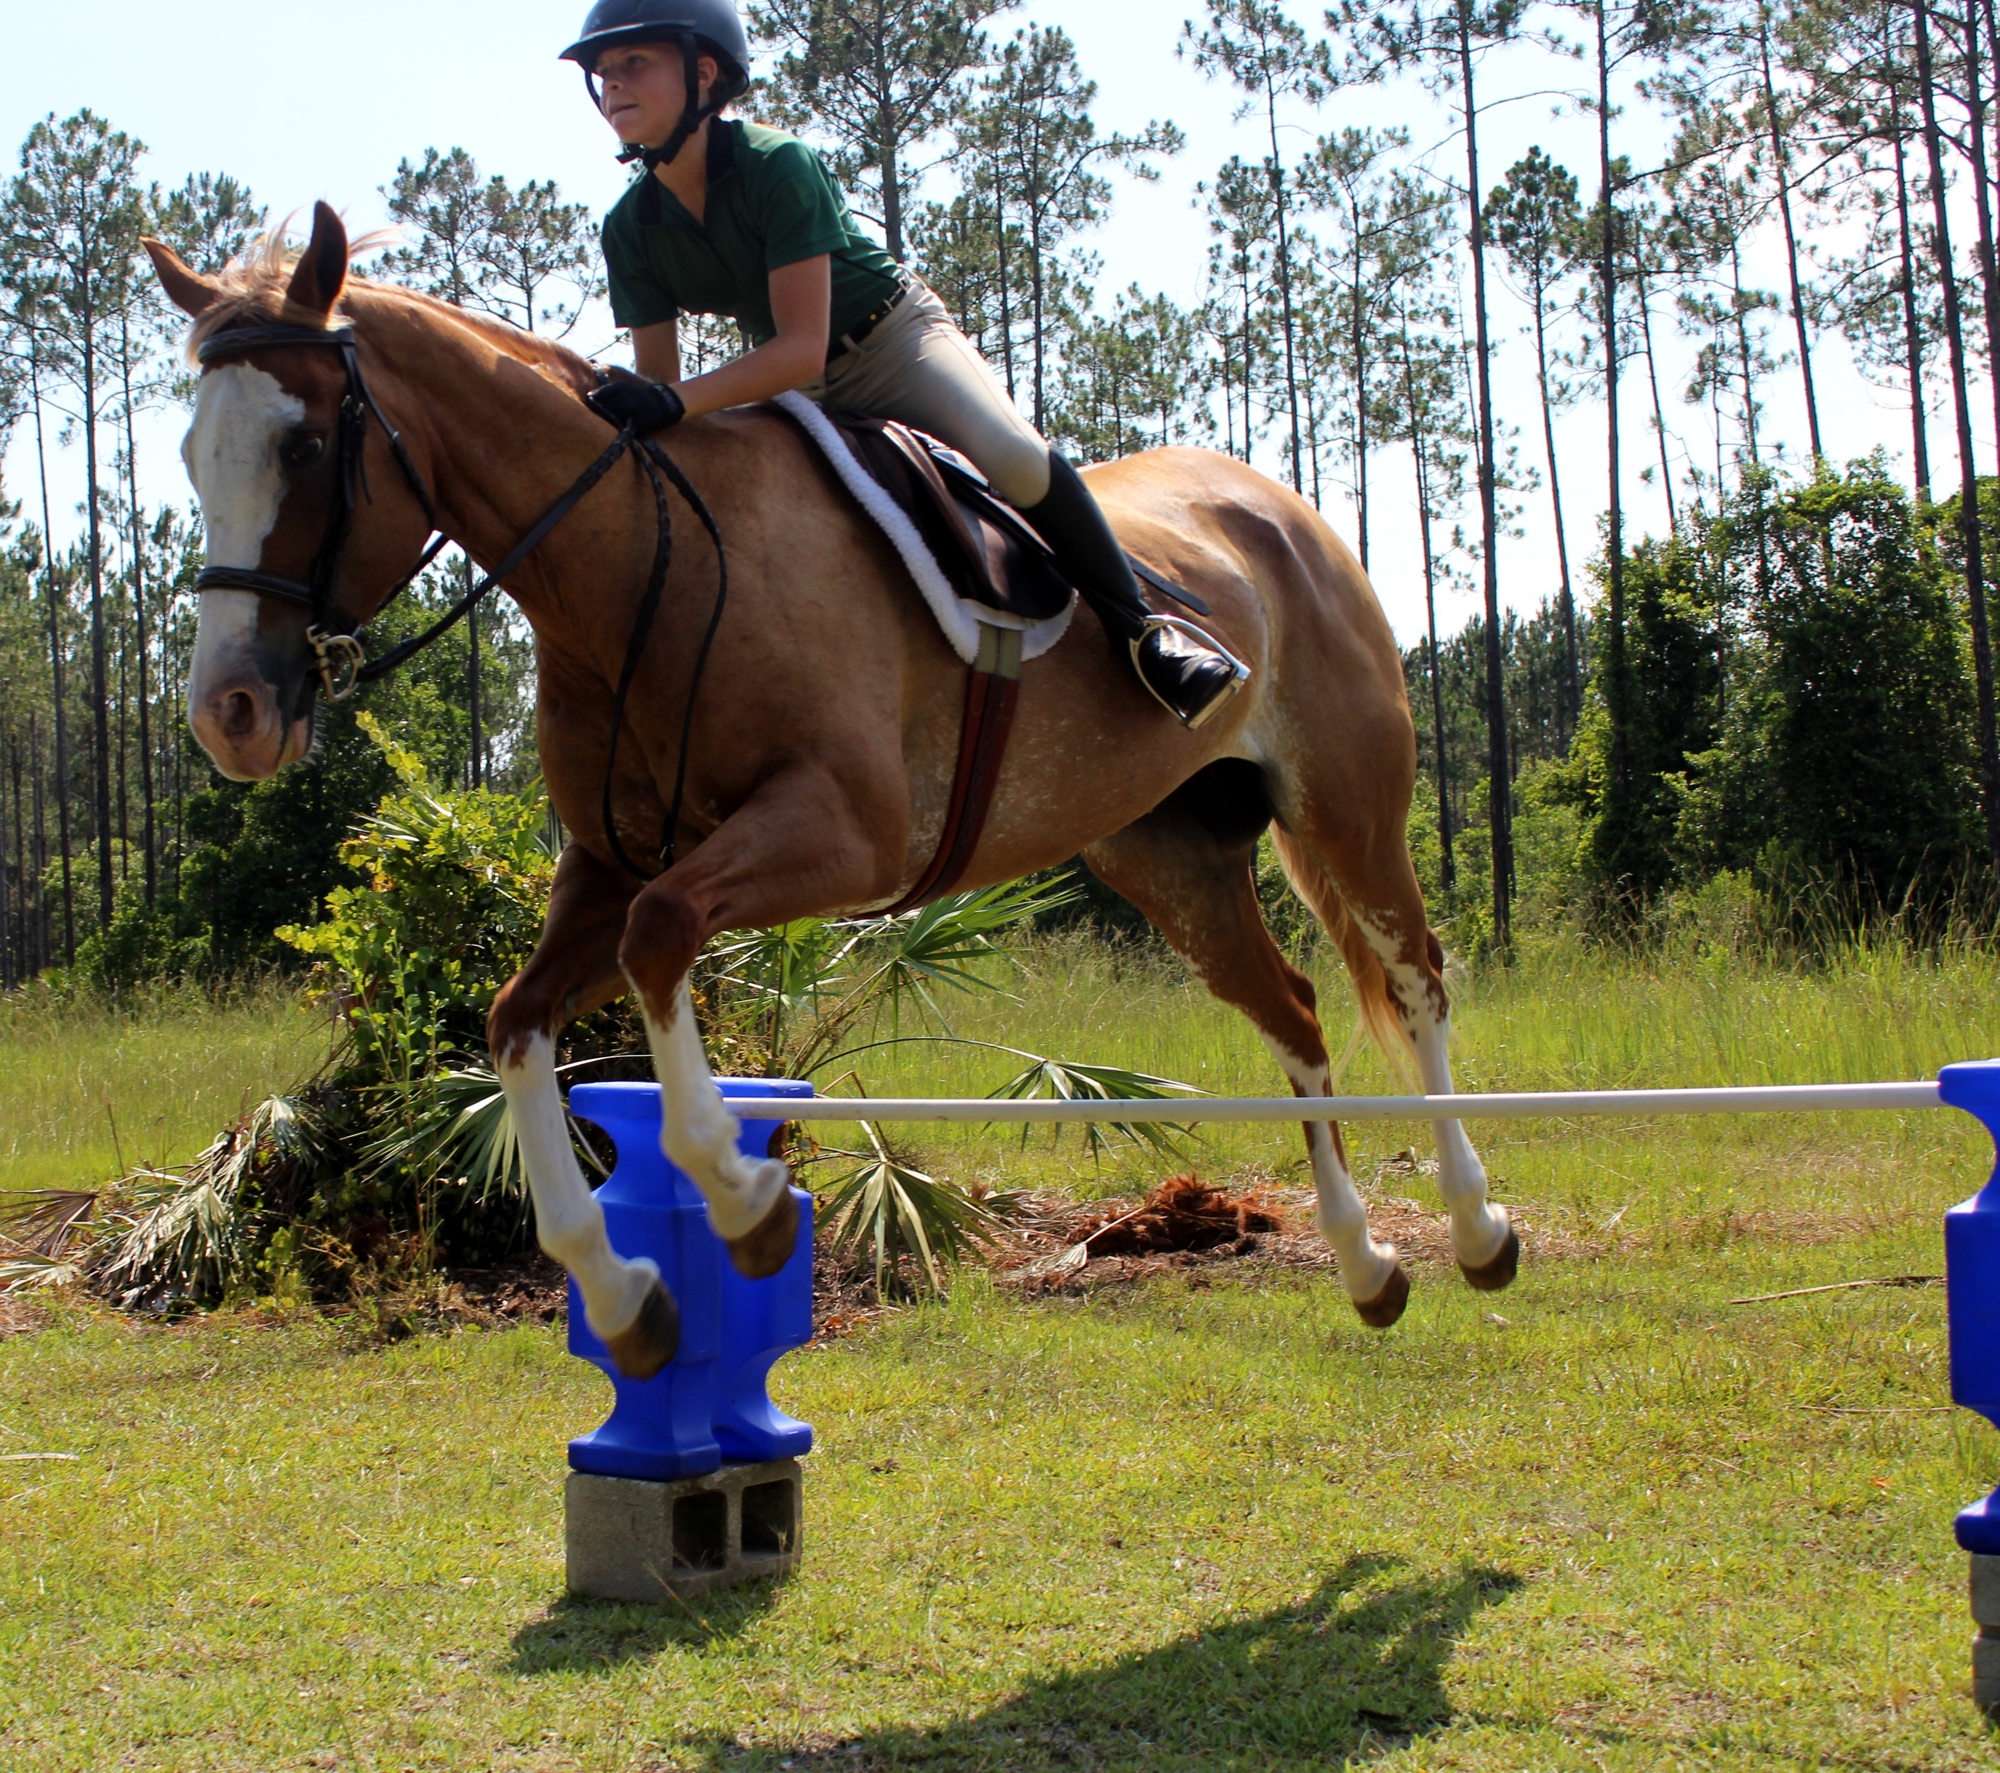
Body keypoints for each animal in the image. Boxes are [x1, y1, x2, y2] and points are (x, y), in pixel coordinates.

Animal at [145, 205, 1512, 1376]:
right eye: (192, 456)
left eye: (304, 444)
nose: (230, 715)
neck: (639, 565)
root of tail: (1280, 505)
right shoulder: (609, 866)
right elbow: (518, 1021)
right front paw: (624, 1297)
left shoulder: (843, 837)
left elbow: (661, 944)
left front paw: (745, 1198)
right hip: (1165, 853)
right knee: (1294, 1013)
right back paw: (1366, 1266)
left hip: (1344, 801)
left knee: (1412, 981)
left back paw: (1476, 1227)